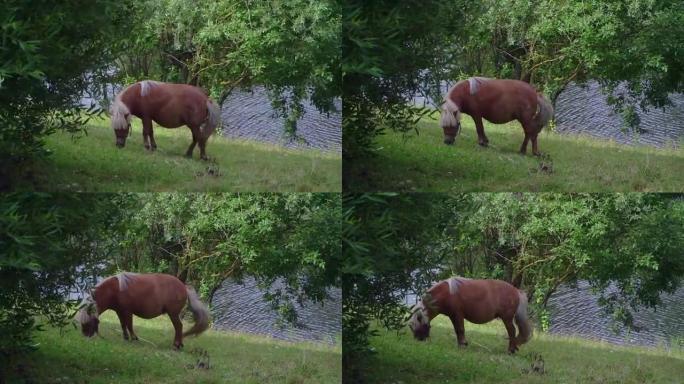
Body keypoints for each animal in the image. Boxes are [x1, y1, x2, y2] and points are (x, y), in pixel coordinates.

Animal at [74, 272, 208, 350]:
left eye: (87, 320)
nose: (85, 336)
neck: (114, 290)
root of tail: (183, 286)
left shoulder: (127, 311)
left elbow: (129, 325)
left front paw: (134, 338)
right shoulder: (119, 311)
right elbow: (123, 325)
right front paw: (125, 338)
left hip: (173, 314)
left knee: (179, 327)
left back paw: (176, 345)